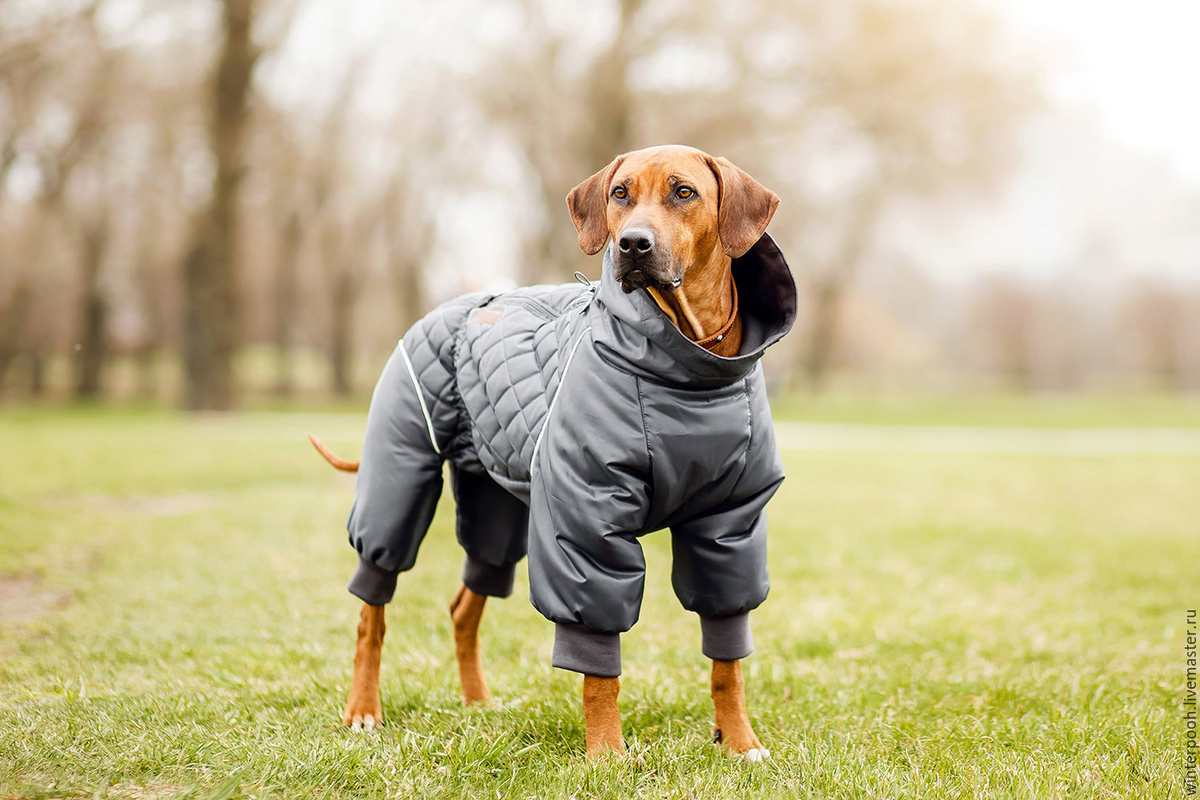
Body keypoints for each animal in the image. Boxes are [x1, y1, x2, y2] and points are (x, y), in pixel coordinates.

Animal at [309, 145, 777, 762]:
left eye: (684, 192)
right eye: (620, 194)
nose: (632, 244)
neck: (689, 368)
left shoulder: (729, 524)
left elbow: (728, 655)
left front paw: (740, 741)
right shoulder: (585, 520)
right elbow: (599, 665)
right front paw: (606, 755)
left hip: (498, 504)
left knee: (466, 603)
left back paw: (478, 702)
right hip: (399, 476)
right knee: (373, 606)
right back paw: (364, 710)